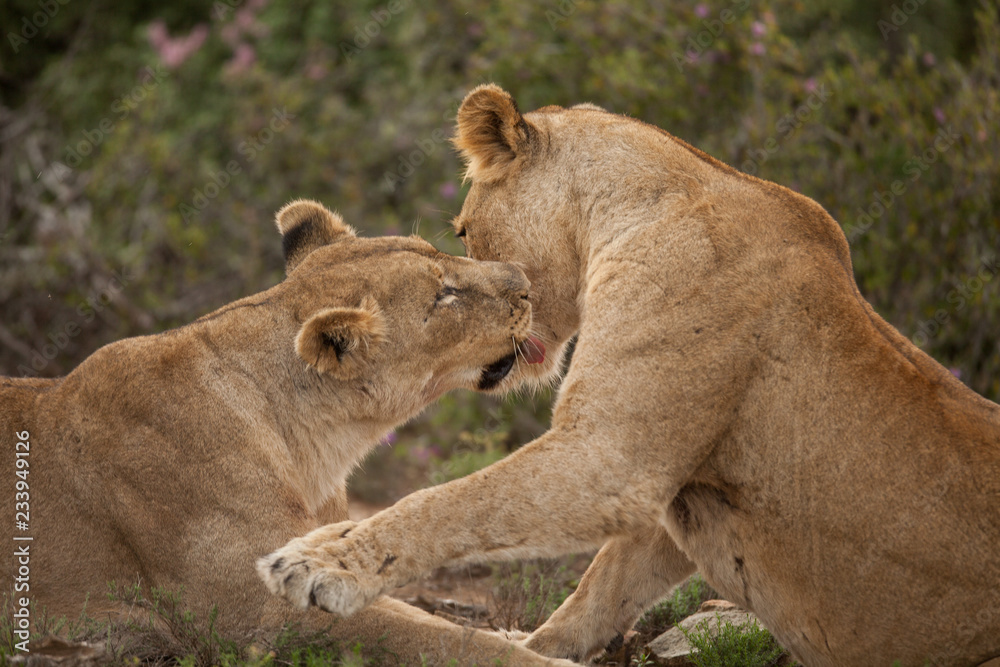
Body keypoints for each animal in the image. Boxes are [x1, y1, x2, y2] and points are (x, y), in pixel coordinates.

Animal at [1, 199, 572, 666]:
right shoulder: (261, 611)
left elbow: (433, 623)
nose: (525, 280)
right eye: (444, 295)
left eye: (443, 251)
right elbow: (444, 639)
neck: (318, 447)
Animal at [258, 89, 1000, 667]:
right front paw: (532, 649)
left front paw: (322, 564)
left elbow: (452, 501)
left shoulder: (613, 456)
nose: (510, 290)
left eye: (463, 230)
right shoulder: (675, 488)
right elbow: (600, 589)